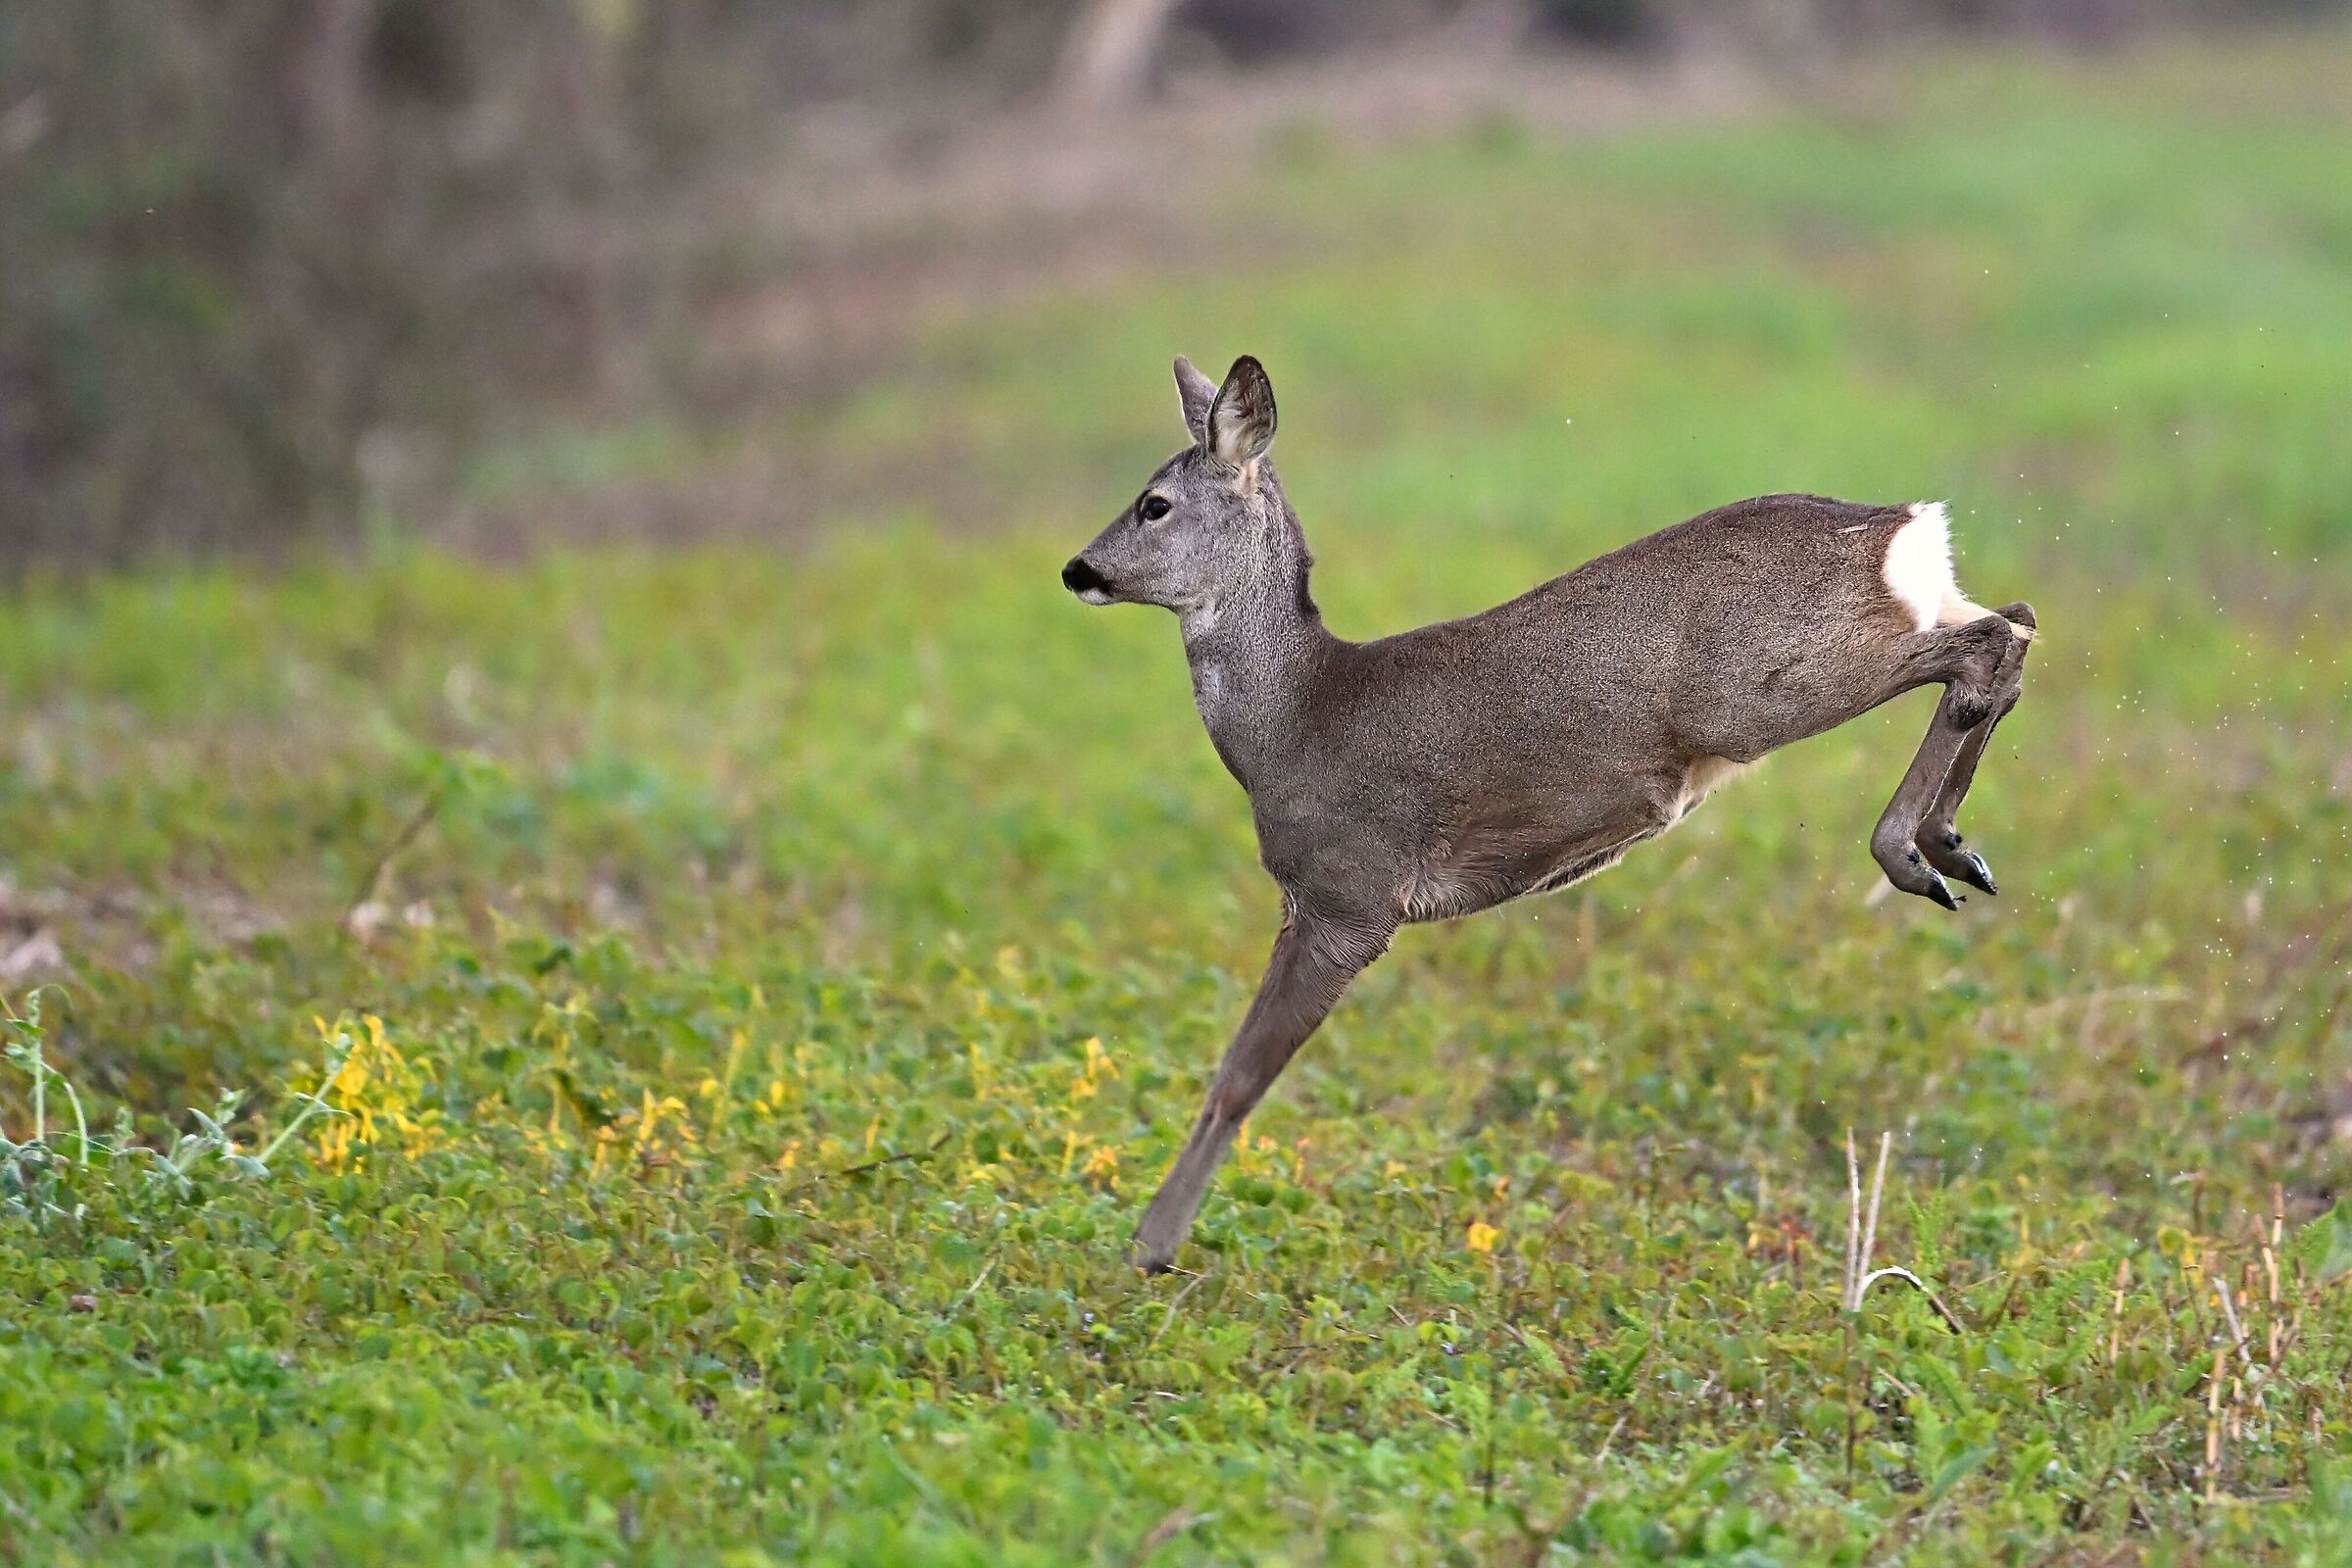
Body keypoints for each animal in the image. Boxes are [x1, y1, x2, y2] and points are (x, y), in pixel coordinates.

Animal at [1062, 355, 2036, 1273]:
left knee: (1986, 645)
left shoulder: (1350, 895)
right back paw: (1951, 849)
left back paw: (1910, 851)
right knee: (2015, 620)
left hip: (1757, 693)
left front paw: (1149, 1248)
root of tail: (1898, 525)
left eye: (1154, 503)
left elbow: (1237, 1078)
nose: (1078, 569)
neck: (1294, 722)